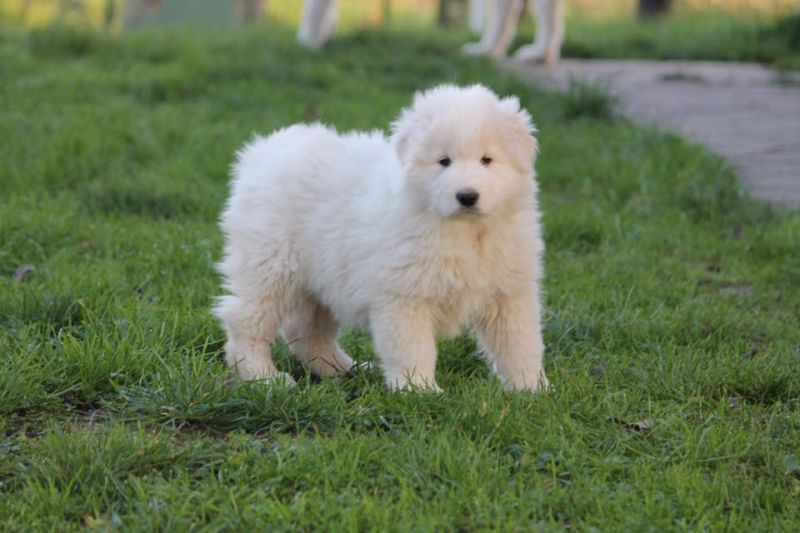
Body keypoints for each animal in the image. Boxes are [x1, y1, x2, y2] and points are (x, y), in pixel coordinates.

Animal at [214, 84, 552, 390]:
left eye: (487, 160)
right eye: (443, 161)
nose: (467, 196)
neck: (465, 232)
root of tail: (261, 152)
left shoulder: (510, 292)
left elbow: (520, 344)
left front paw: (533, 390)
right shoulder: (404, 296)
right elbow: (413, 348)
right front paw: (419, 390)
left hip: (322, 276)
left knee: (307, 331)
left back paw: (343, 370)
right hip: (270, 264)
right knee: (246, 321)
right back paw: (264, 377)